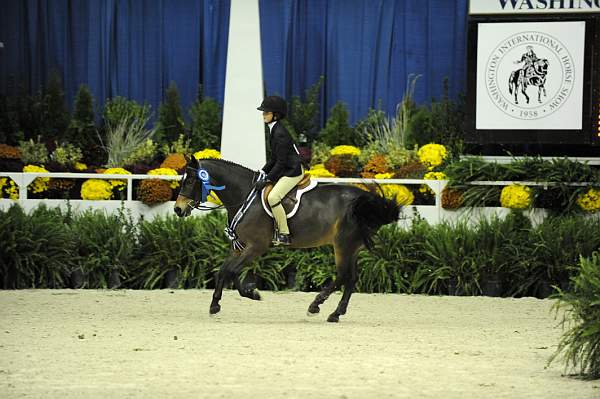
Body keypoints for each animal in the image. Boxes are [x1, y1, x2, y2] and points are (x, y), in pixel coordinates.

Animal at [173, 158, 400, 324]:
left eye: (190, 181)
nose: (178, 209)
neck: (245, 196)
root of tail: (365, 198)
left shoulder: (256, 246)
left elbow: (232, 272)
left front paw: (251, 294)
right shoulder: (240, 247)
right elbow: (224, 272)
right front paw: (215, 305)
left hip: (343, 245)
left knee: (344, 276)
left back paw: (315, 306)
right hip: (352, 248)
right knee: (351, 278)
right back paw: (335, 313)